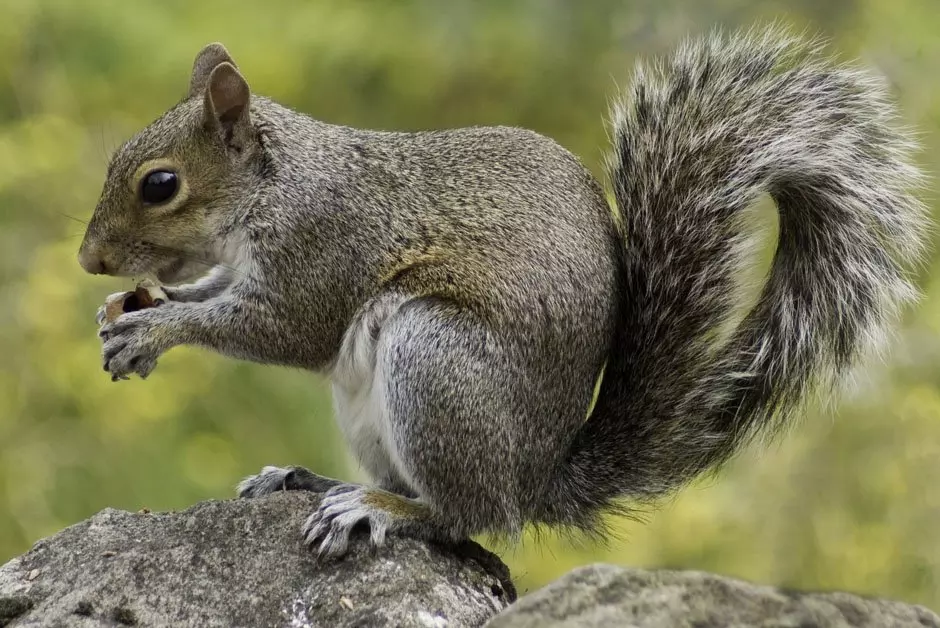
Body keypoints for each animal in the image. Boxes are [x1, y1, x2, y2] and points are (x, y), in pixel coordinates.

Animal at [78, 27, 927, 559]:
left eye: (160, 185)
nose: (89, 260)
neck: (275, 187)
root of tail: (534, 478)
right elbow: (219, 290)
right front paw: (132, 310)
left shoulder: (324, 247)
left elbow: (282, 329)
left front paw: (154, 330)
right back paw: (315, 480)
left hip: (436, 361)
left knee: (467, 518)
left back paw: (379, 509)